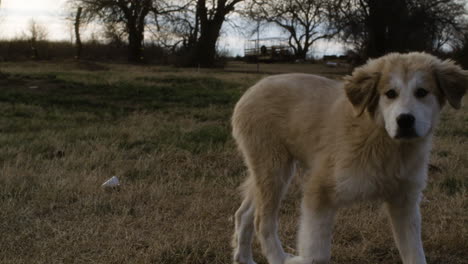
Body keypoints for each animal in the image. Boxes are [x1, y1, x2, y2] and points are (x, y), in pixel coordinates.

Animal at [232, 52, 466, 264]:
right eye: (390, 93)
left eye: (422, 92)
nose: (405, 120)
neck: (385, 141)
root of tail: (252, 90)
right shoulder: (320, 190)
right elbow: (317, 253)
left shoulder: (405, 202)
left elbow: (414, 254)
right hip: (275, 167)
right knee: (262, 222)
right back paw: (279, 258)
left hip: (266, 169)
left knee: (244, 213)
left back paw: (244, 259)